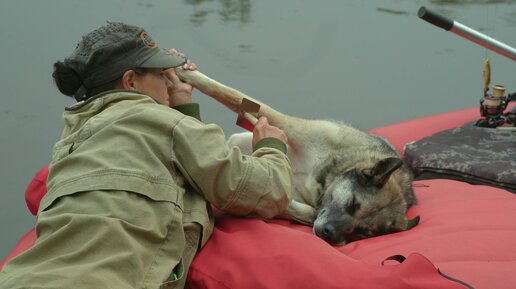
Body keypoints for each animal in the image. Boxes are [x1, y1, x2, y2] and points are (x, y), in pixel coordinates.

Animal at [177, 68, 420, 245]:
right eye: (352, 204)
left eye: (363, 232)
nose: (329, 234)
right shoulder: (288, 124)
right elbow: (232, 94)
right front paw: (185, 73)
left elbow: (290, 205)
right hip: (240, 139)